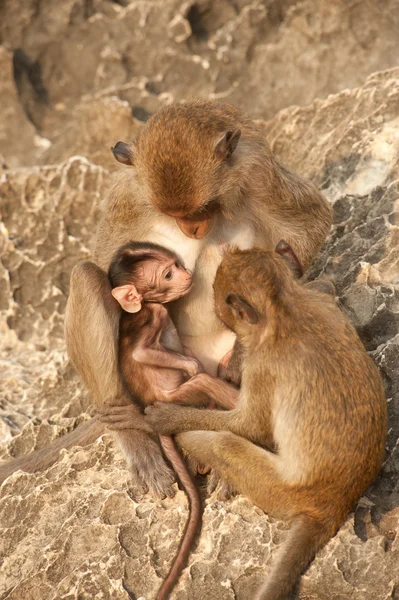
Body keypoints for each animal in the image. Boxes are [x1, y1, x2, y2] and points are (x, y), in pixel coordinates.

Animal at [0, 101, 332, 494]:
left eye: (202, 208)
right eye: (177, 214)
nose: (192, 228)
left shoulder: (258, 171)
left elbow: (309, 223)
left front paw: (241, 351)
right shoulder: (127, 195)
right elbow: (107, 271)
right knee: (86, 278)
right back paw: (134, 432)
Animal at [144, 241, 388, 600]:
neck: (284, 307)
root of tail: (334, 506)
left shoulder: (262, 366)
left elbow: (252, 426)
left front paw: (169, 417)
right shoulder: (322, 301)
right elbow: (327, 289)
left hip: (278, 489)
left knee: (225, 443)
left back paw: (188, 434)